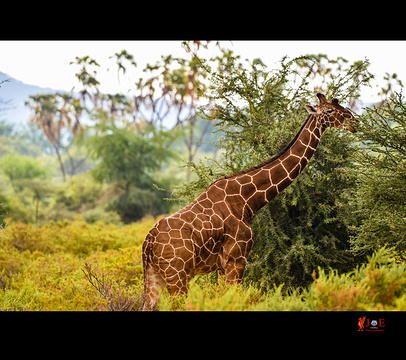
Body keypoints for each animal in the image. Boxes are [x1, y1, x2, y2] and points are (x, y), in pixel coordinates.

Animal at [141, 93, 356, 310]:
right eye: (330, 110)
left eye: (340, 105)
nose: (354, 122)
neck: (247, 201)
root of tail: (149, 242)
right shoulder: (237, 258)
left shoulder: (223, 265)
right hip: (178, 274)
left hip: (153, 276)